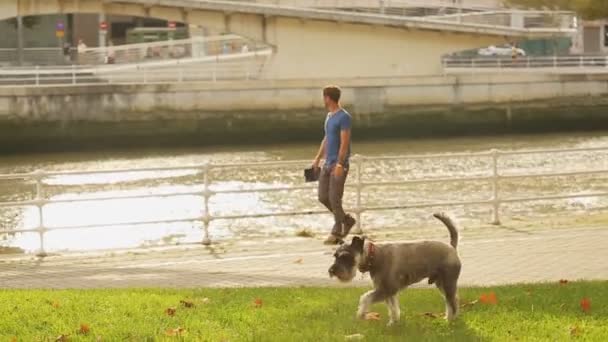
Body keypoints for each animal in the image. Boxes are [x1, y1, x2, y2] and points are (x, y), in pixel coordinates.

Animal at [328, 211, 460, 326]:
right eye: (335, 256)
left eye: (345, 256)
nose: (332, 271)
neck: (373, 256)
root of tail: (451, 247)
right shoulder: (387, 291)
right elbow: (393, 308)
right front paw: (393, 323)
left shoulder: (386, 289)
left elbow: (365, 298)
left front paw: (361, 314)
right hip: (440, 283)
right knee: (451, 301)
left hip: (448, 283)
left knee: (452, 303)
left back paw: (449, 321)